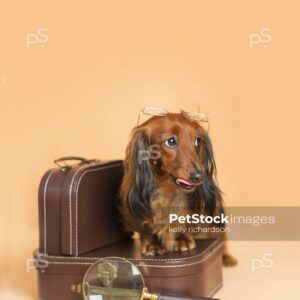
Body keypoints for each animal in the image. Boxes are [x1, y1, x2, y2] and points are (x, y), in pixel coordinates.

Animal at [119, 111, 237, 266]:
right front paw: (153, 244)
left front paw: (182, 238)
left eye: (197, 141)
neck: (168, 193)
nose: (199, 177)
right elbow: (147, 228)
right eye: (171, 141)